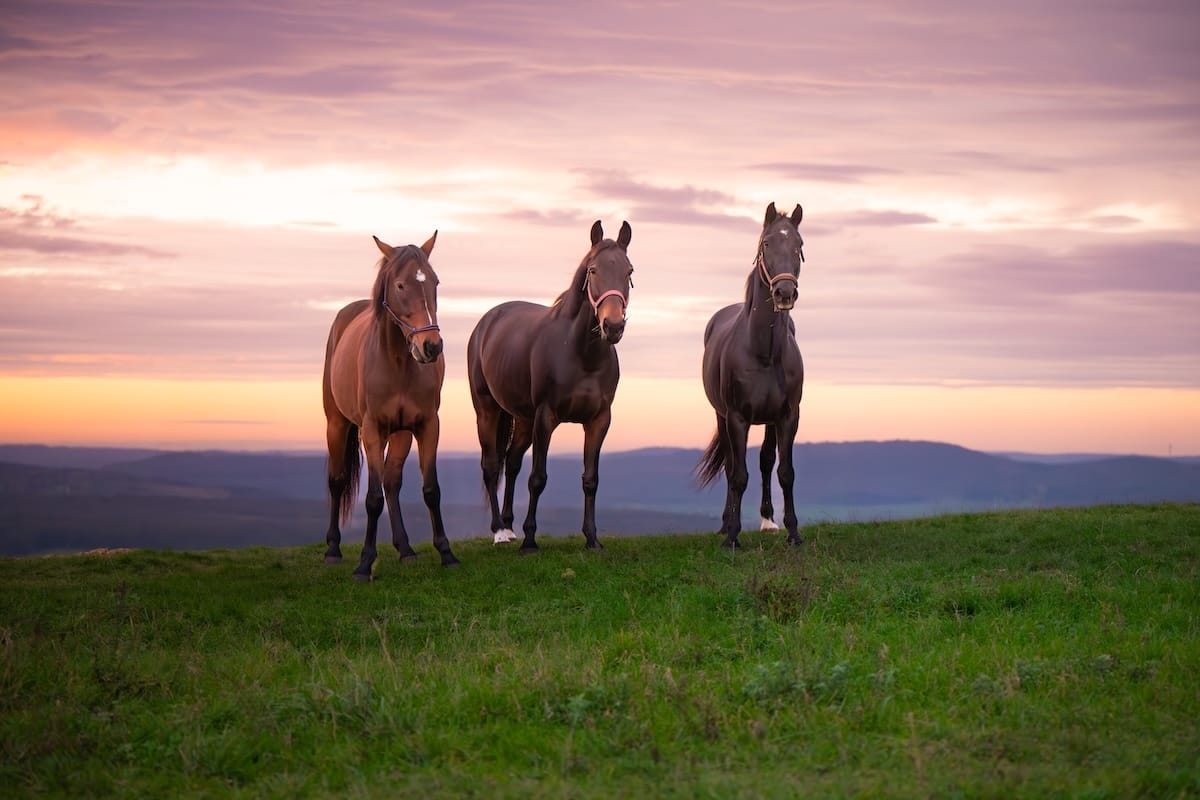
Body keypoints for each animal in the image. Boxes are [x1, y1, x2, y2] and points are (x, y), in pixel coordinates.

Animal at [321, 232, 459, 580]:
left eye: (435, 282)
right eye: (399, 285)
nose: (431, 346)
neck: (398, 363)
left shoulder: (426, 426)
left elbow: (430, 489)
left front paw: (446, 552)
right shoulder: (372, 431)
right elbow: (371, 499)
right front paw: (364, 563)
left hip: (401, 434)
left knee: (392, 482)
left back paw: (405, 549)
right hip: (337, 424)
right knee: (337, 480)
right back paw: (332, 549)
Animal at [467, 219, 634, 553]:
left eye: (629, 271)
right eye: (593, 270)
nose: (613, 326)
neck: (581, 354)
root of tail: (487, 322)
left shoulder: (599, 421)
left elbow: (590, 479)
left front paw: (592, 539)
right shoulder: (546, 417)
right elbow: (538, 478)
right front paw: (530, 540)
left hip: (522, 418)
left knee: (512, 462)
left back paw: (509, 526)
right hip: (487, 411)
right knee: (491, 466)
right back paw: (500, 531)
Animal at [697, 202, 806, 548]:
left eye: (799, 245)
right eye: (766, 243)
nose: (784, 292)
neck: (764, 353)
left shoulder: (787, 416)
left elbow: (785, 471)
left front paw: (793, 532)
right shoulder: (737, 417)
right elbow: (738, 475)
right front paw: (732, 535)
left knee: (766, 462)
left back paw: (768, 520)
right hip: (721, 416)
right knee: (733, 464)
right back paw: (725, 524)